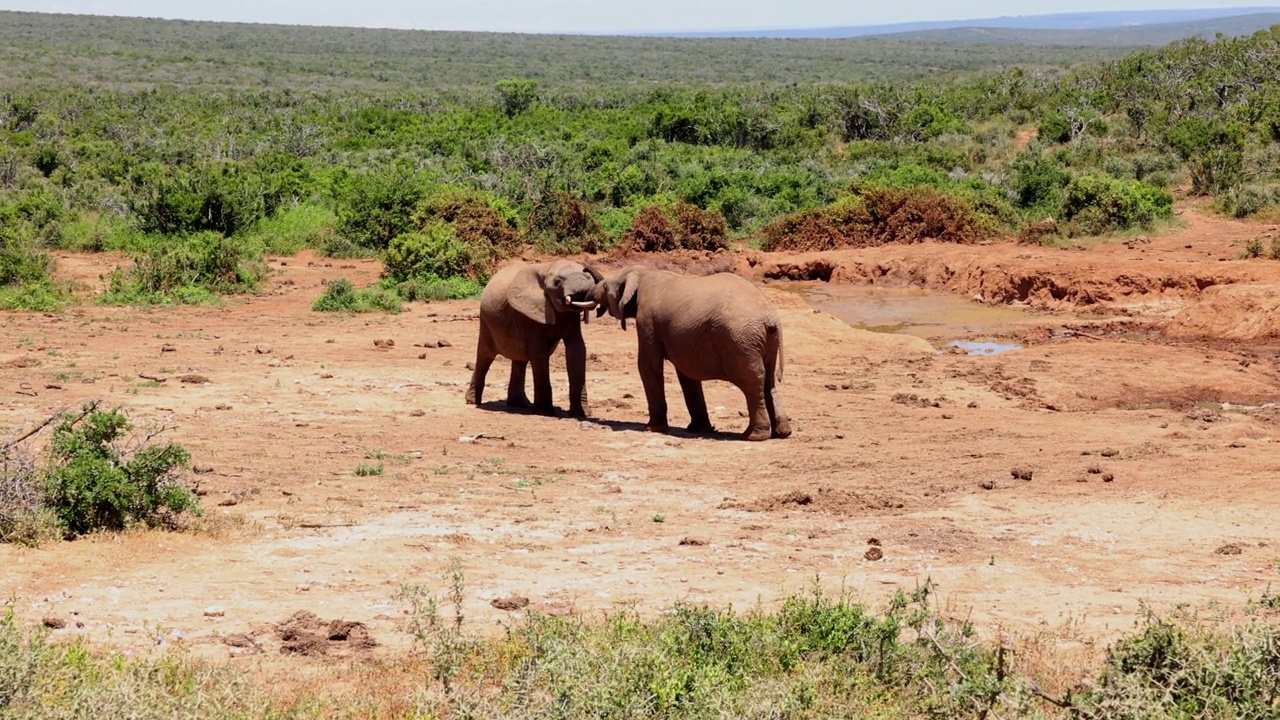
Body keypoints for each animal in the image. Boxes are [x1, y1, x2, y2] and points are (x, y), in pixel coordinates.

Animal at [465, 257, 604, 415]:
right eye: (557, 282)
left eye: (587, 276)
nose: (587, 268)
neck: (547, 268)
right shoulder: (528, 313)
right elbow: (539, 352)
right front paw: (546, 412)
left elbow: (577, 349)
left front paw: (581, 413)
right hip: (486, 321)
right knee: (486, 355)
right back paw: (472, 401)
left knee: (520, 360)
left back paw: (520, 404)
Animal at [591, 266, 788, 440]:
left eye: (605, 286)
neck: (643, 272)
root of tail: (771, 318)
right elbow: (686, 372)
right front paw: (699, 429)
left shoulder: (647, 320)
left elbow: (648, 366)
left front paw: (651, 429)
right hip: (764, 342)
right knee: (769, 381)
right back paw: (782, 433)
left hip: (741, 341)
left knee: (751, 381)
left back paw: (753, 436)